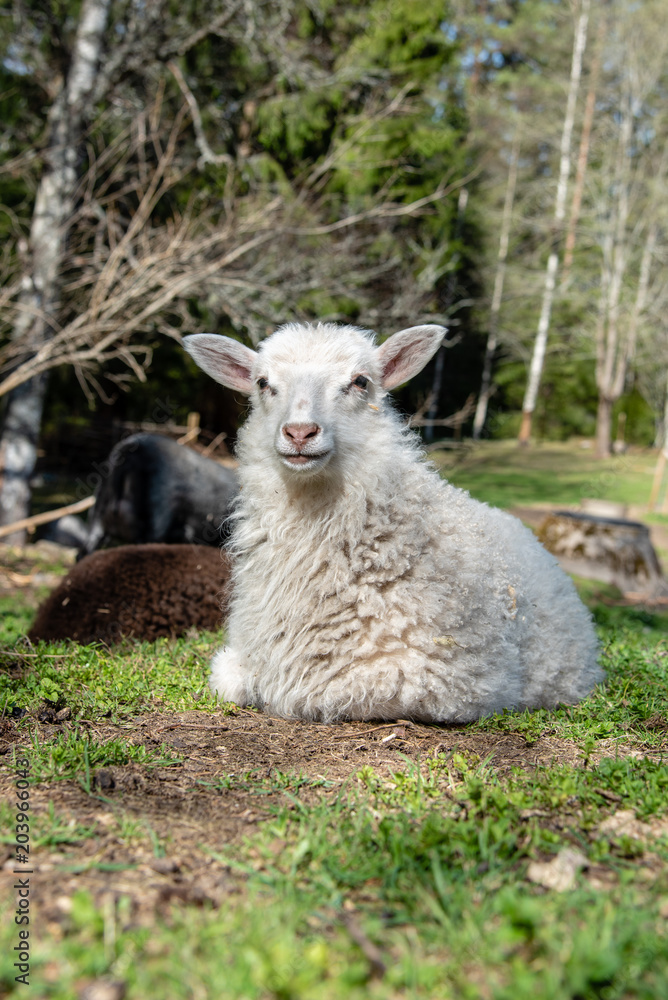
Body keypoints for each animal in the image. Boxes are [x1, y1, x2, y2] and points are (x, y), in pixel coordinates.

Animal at [181, 324, 600, 724]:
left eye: (361, 381)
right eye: (262, 383)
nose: (300, 432)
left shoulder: (443, 678)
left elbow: (309, 692)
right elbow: (229, 678)